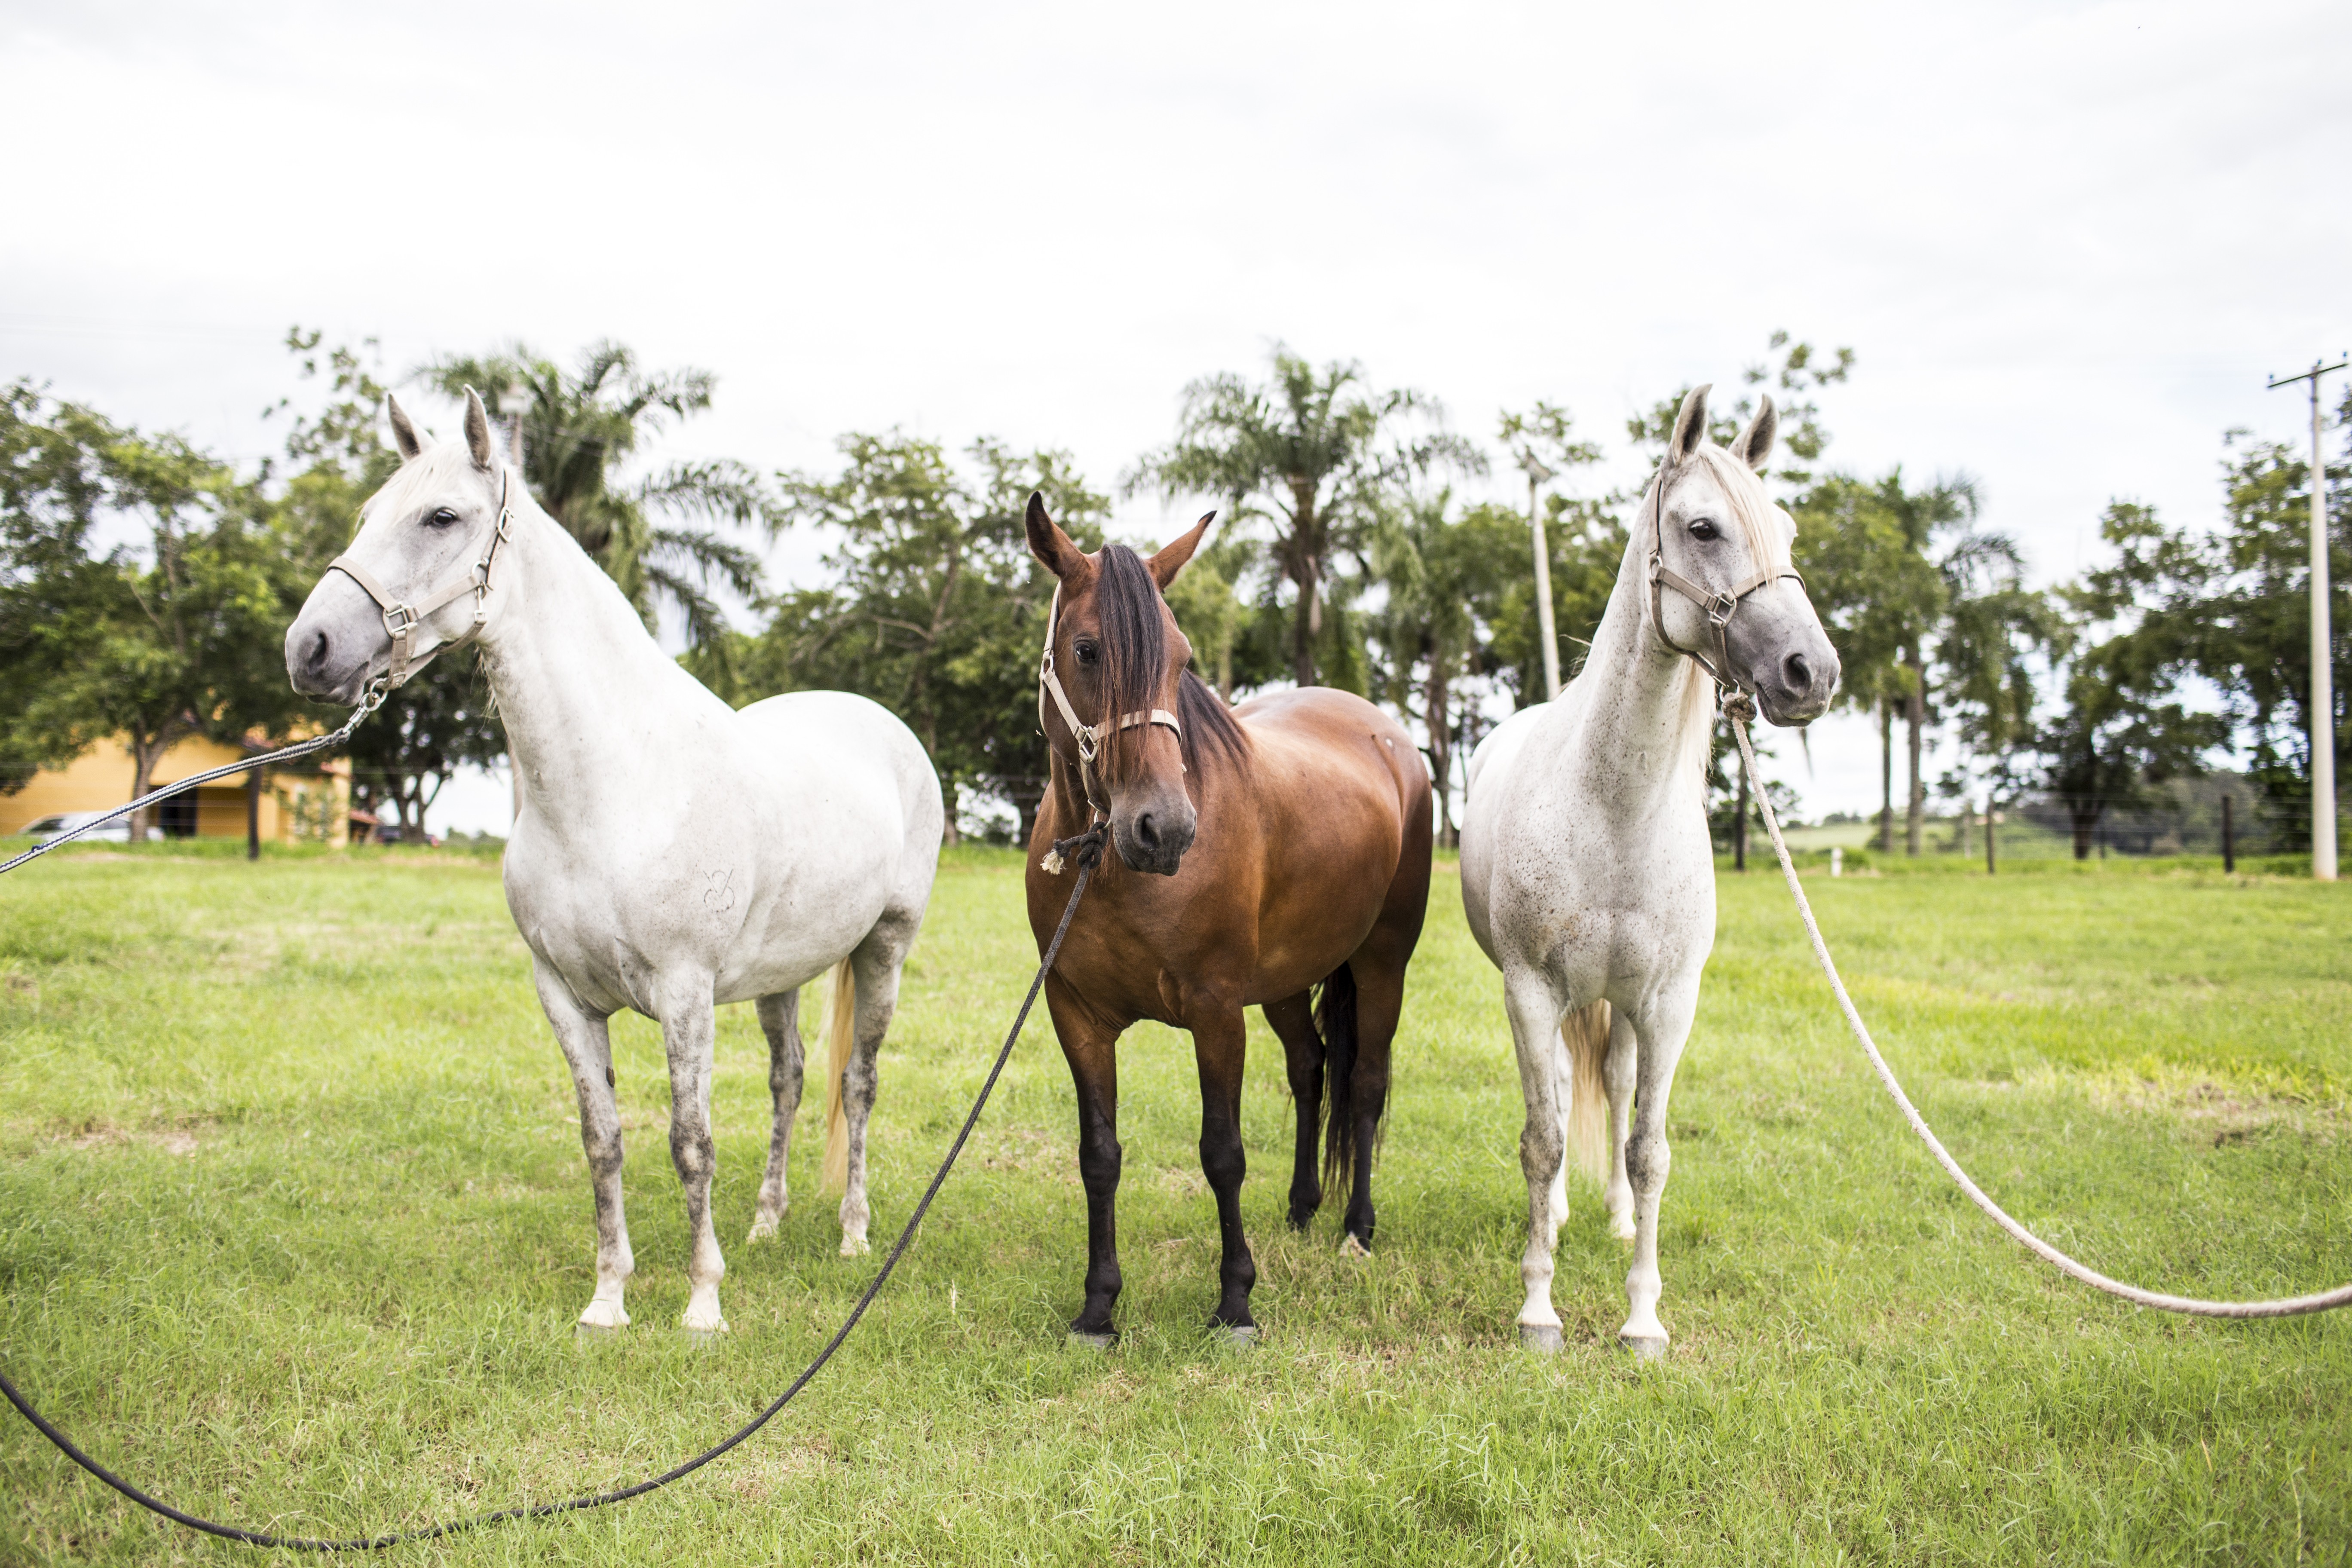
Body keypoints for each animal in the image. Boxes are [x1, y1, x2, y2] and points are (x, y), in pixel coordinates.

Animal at [291, 392, 945, 1335]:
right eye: (367, 514)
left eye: (440, 516)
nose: (309, 649)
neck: (610, 786)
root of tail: (881, 724)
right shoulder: (564, 996)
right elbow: (602, 1141)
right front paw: (608, 1299)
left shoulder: (684, 991)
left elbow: (690, 1141)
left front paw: (702, 1303)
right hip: (783, 974)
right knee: (788, 1081)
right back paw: (767, 1224)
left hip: (883, 949)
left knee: (857, 1085)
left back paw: (854, 1234)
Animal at [1025, 496, 1430, 1344]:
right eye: (1086, 649)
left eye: (1181, 661)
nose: (1164, 829)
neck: (1108, 867)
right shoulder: (1075, 1016)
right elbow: (1099, 1155)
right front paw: (1098, 1306)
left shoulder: (1215, 1012)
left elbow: (1223, 1152)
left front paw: (1236, 1300)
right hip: (1284, 980)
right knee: (1311, 1068)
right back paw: (1304, 1209)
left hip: (1382, 962)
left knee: (1365, 1082)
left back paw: (1355, 1227)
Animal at [1467, 385, 1834, 1354]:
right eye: (1702, 526)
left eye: (1787, 528)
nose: (1811, 673)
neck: (1613, 812)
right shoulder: (1530, 990)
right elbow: (1543, 1138)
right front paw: (1539, 1307)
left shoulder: (1670, 1003)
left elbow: (1650, 1148)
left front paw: (1641, 1317)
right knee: (1564, 1096)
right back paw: (1561, 1217)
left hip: (1627, 1008)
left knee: (1618, 1089)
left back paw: (1618, 1217)